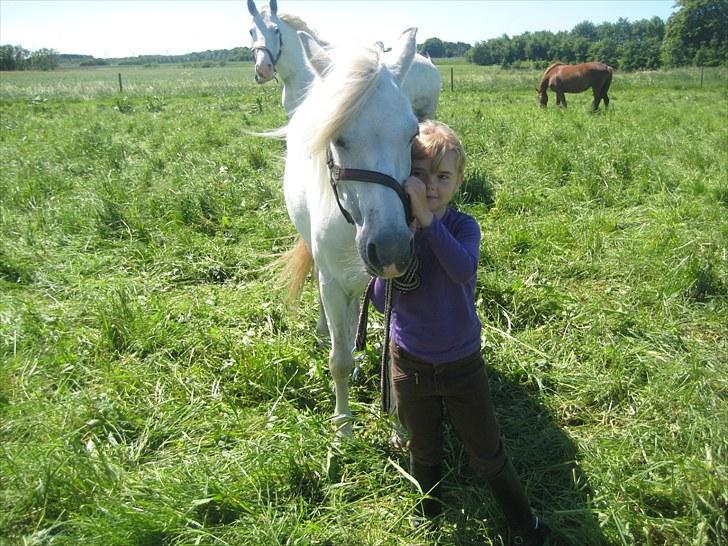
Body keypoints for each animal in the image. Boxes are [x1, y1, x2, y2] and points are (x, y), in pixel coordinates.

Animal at [247, 0, 441, 121]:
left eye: (276, 30)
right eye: (251, 31)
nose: (263, 70)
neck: (301, 75)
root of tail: (428, 62)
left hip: (427, 112)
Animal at [268, 28, 420, 437]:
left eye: (412, 134)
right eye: (338, 139)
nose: (391, 249)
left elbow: (395, 360)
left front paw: (402, 429)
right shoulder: (334, 283)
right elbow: (338, 361)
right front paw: (343, 428)